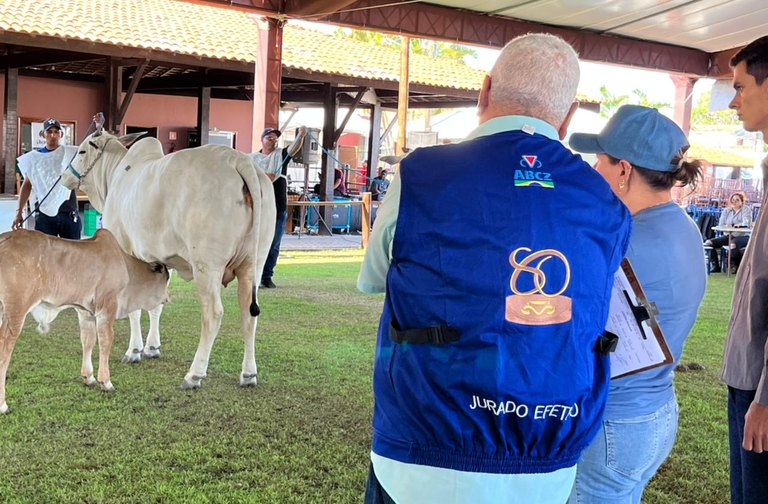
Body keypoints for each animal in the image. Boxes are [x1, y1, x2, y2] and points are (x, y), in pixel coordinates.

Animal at [0, 228, 170, 414]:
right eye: (166, 278)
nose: (168, 298)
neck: (127, 268)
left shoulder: (85, 312)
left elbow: (88, 340)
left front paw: (89, 377)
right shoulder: (107, 307)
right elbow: (106, 341)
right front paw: (106, 382)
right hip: (15, 311)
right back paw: (3, 405)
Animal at [60, 132, 276, 388]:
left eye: (82, 151)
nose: (64, 177)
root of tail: (238, 159)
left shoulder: (127, 254)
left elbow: (134, 307)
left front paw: (134, 351)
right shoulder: (162, 261)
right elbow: (156, 304)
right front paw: (151, 347)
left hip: (207, 265)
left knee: (213, 313)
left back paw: (194, 374)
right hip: (255, 262)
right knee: (249, 313)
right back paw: (248, 374)